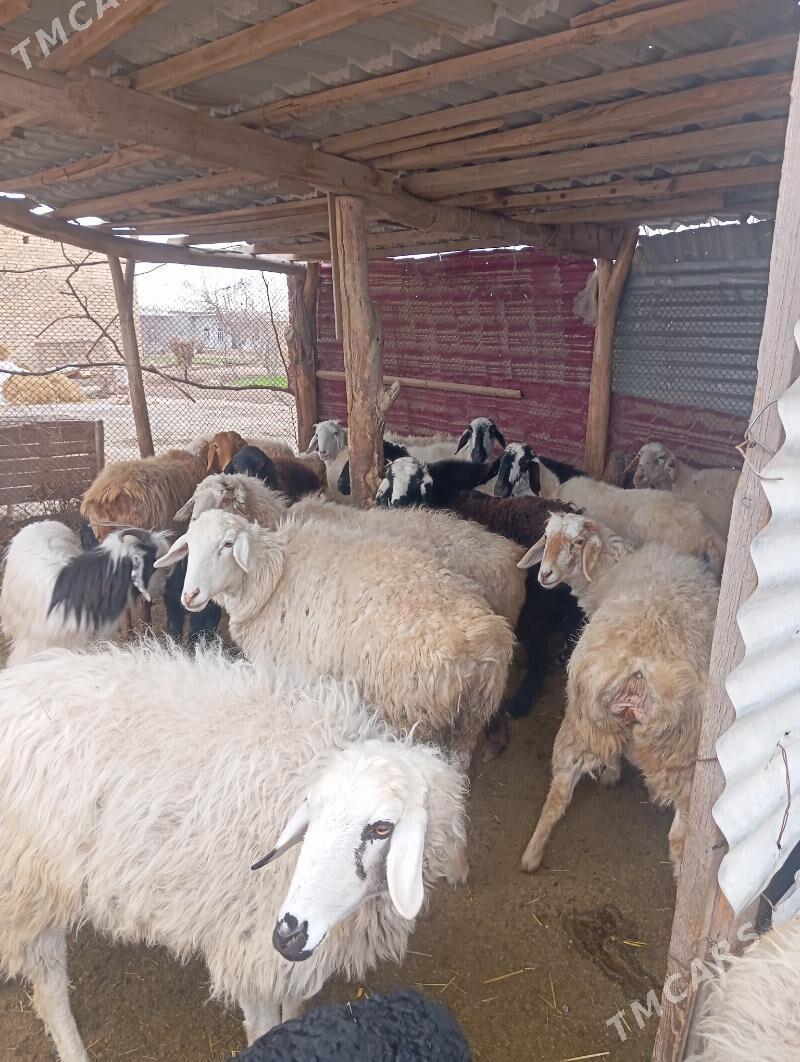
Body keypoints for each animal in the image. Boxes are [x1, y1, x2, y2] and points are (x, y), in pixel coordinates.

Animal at [155, 510, 514, 770]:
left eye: (227, 545)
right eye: (189, 546)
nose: (190, 595)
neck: (271, 578)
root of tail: (484, 639)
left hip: (415, 714)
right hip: (471, 720)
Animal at [519, 531, 719, 878]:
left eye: (576, 542)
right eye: (547, 538)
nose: (544, 575)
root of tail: (637, 672)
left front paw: (613, 776)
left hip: (585, 720)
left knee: (560, 789)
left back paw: (532, 853)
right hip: (675, 753)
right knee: (680, 839)